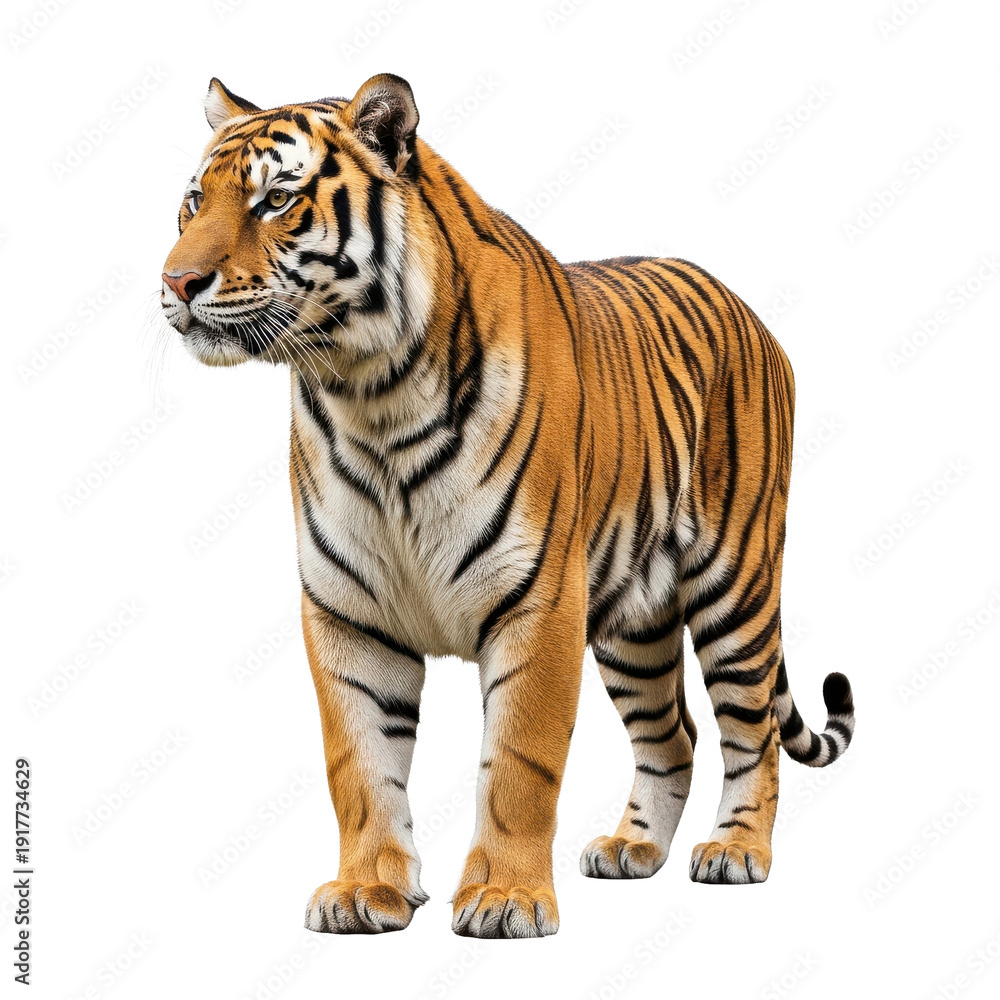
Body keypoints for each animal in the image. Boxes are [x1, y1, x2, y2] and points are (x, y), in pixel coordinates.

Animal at [160, 73, 856, 939]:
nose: (176, 283)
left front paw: (505, 899)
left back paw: (735, 851)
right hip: (634, 625)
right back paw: (632, 849)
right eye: (194, 201)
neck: (367, 392)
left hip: (738, 587)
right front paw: (366, 891)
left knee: (751, 731)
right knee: (675, 735)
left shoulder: (539, 600)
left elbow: (519, 764)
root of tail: (748, 310)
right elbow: (359, 764)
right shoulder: (347, 612)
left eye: (276, 200)